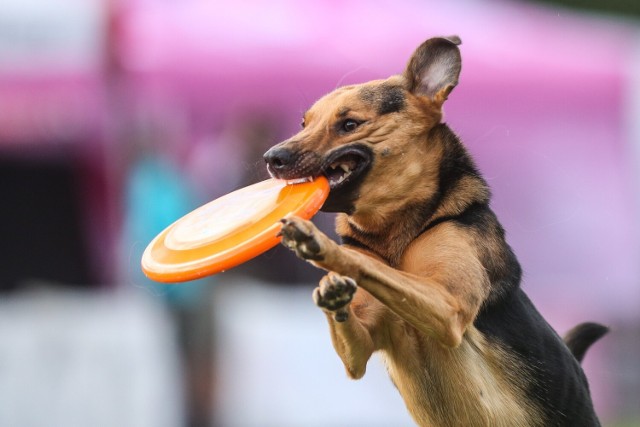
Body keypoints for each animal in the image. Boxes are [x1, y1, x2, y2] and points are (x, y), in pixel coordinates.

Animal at [262, 36, 608, 427]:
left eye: (349, 124)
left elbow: (376, 268)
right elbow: (359, 331)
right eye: (303, 122)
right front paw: (335, 293)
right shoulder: (362, 348)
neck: (395, 234)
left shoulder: (447, 306)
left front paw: (320, 245)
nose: (272, 158)